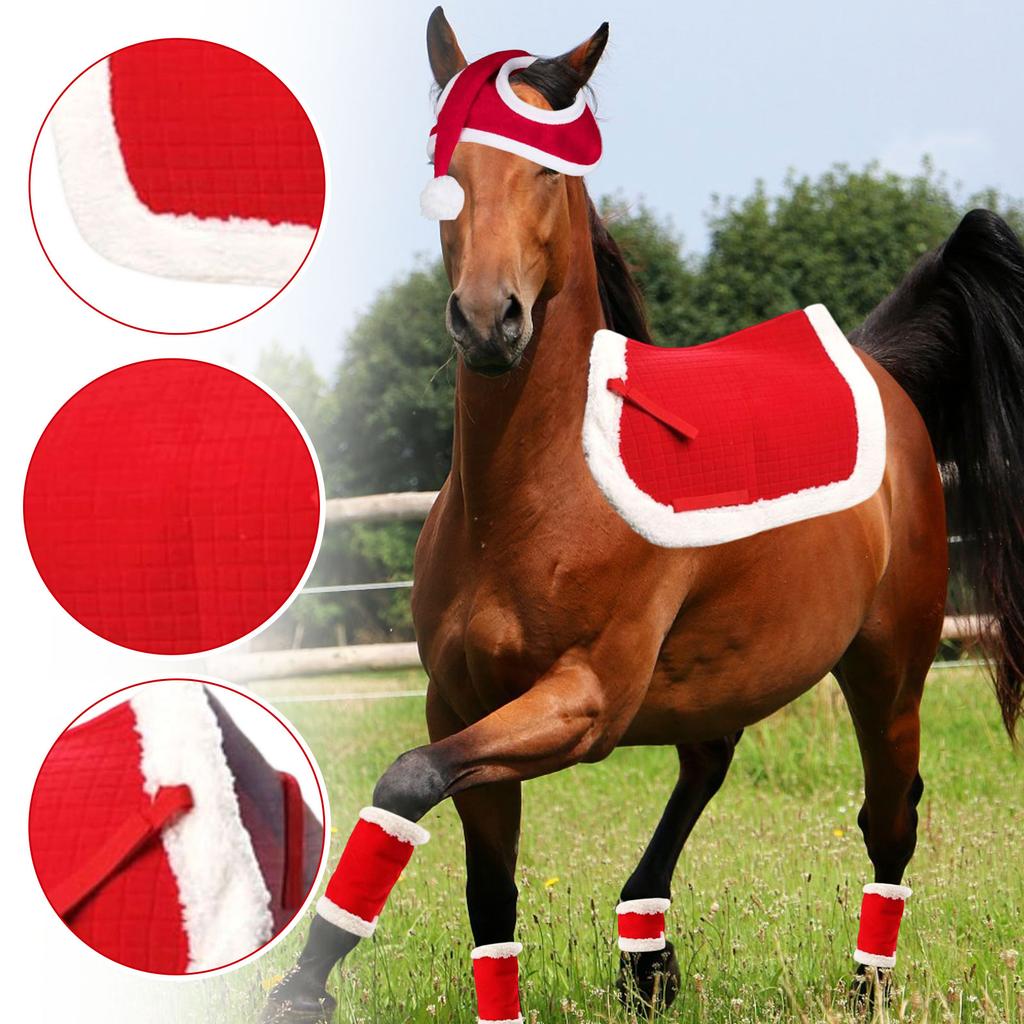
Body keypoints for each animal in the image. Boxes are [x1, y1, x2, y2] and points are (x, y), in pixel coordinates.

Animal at [264, 9, 1024, 1022]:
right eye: (443, 169)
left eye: (550, 172)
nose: (489, 322)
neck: (537, 498)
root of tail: (876, 366)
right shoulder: (460, 699)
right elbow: (485, 889)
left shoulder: (583, 703)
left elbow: (409, 774)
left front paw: (304, 985)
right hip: (725, 671)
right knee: (709, 765)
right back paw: (647, 955)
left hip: (890, 670)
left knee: (889, 817)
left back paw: (860, 988)